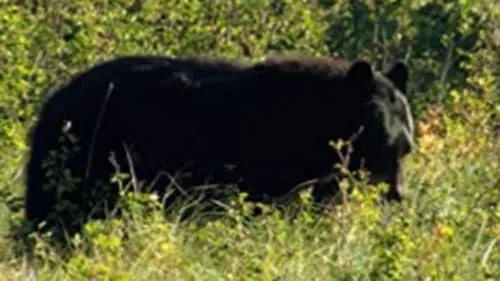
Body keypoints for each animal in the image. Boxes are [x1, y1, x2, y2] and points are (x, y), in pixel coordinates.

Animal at [23, 54, 414, 236]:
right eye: (381, 140)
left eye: (406, 146)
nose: (396, 194)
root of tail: (53, 102)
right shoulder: (273, 160)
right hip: (88, 155)